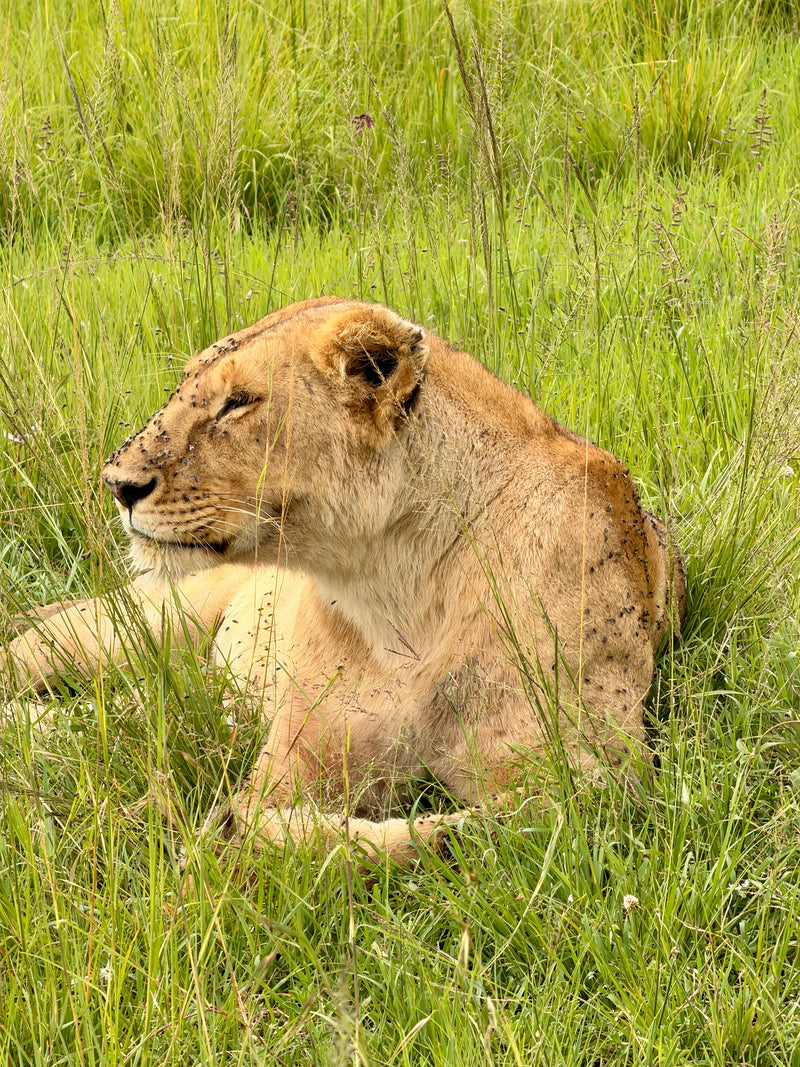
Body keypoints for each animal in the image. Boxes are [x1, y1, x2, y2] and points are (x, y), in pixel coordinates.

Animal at [2, 296, 685, 867]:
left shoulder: (602, 775)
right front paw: (211, 819)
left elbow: (485, 830)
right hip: (142, 625)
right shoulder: (294, 756)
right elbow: (276, 822)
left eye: (238, 402)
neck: (396, 587)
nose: (117, 484)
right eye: (187, 388)